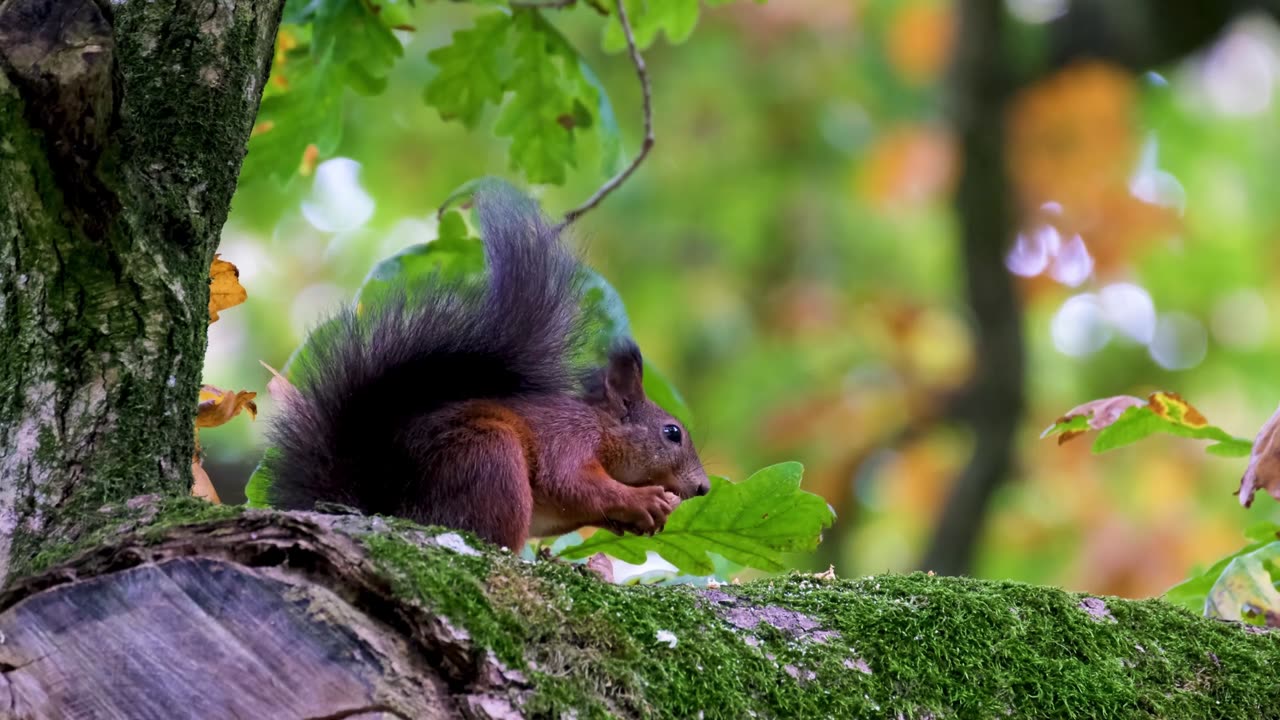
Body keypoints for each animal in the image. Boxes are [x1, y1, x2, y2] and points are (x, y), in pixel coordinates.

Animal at [258, 185, 711, 548]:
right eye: (672, 433)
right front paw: (644, 499)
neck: (602, 428)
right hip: (489, 456)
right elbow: (572, 482)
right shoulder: (568, 438)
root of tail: (388, 504)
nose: (704, 487)